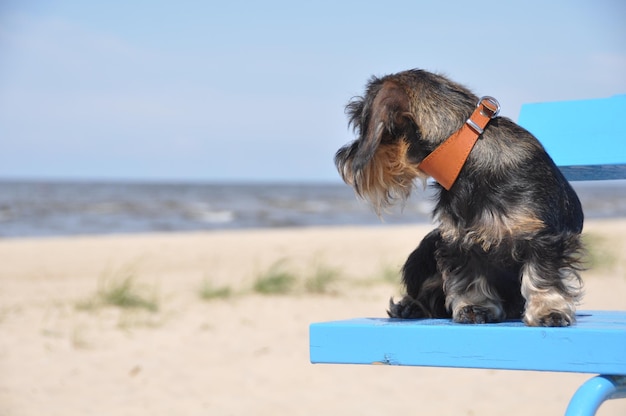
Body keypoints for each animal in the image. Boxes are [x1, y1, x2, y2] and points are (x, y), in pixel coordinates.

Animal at [334, 70, 584, 326]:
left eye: (359, 120)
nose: (343, 159)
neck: (466, 155)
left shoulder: (542, 236)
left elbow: (542, 275)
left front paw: (548, 310)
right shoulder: (458, 240)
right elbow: (469, 277)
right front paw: (475, 307)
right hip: (428, 244)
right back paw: (411, 306)